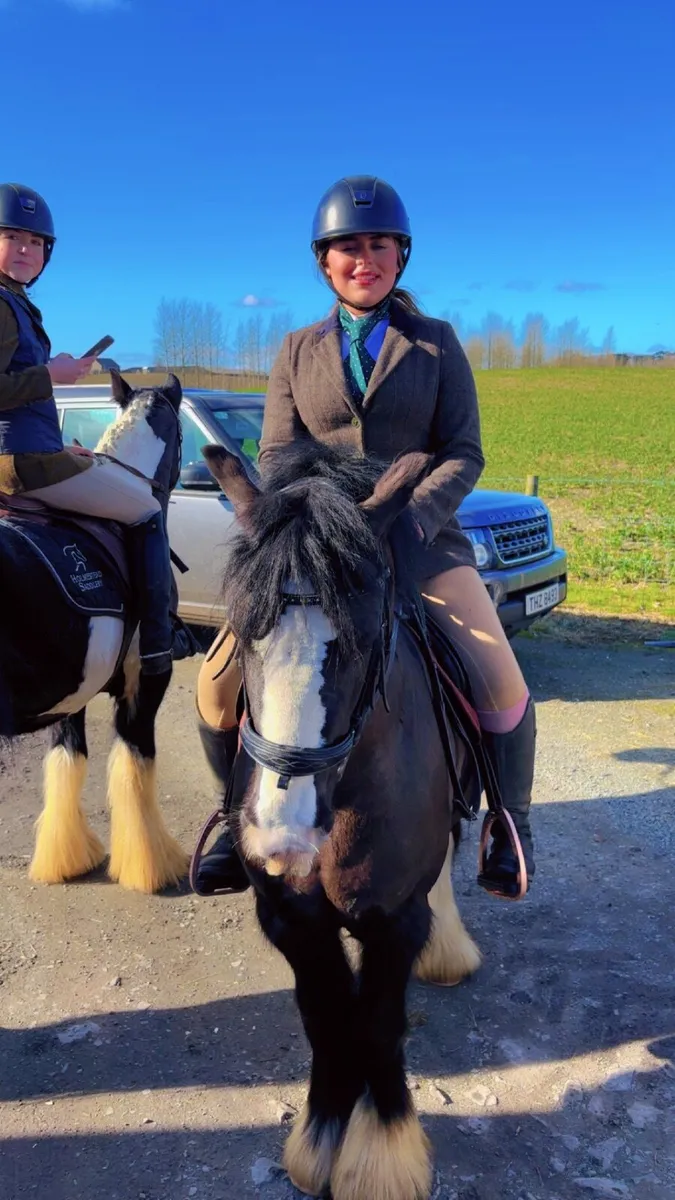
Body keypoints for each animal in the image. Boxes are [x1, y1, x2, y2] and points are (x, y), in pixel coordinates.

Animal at [0, 372, 188, 894]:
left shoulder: (73, 693)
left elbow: (68, 762)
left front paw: (66, 857)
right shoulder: (145, 681)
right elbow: (135, 766)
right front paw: (152, 865)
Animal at [200, 440, 483, 1200]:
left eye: (360, 638)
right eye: (244, 634)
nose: (283, 837)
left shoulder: (394, 919)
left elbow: (378, 1025)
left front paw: (383, 1155)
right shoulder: (290, 917)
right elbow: (328, 1018)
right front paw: (322, 1136)